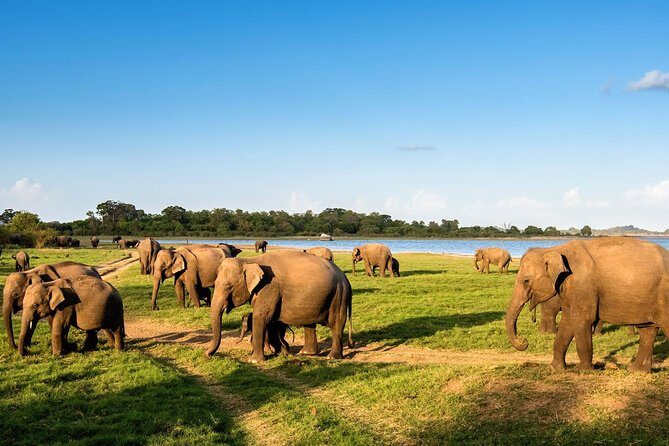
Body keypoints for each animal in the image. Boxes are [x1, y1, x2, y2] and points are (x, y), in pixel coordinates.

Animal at [206, 250, 353, 362]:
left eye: (228, 286)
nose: (207, 354)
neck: (249, 260)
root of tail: (345, 278)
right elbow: (272, 321)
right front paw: (282, 353)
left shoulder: (270, 288)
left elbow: (261, 316)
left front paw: (254, 360)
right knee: (310, 323)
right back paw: (306, 353)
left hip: (338, 295)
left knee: (337, 322)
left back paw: (332, 357)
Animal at [505, 237, 669, 373]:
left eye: (525, 281)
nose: (524, 341)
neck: (555, 248)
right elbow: (567, 322)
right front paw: (556, 368)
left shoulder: (582, 285)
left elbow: (581, 320)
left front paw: (582, 370)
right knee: (648, 331)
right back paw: (636, 371)